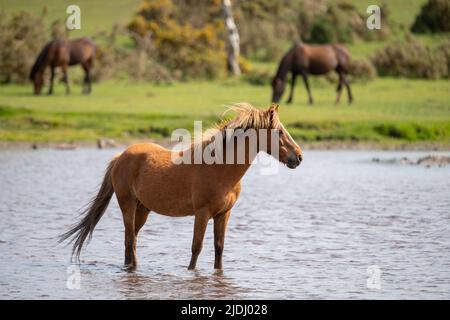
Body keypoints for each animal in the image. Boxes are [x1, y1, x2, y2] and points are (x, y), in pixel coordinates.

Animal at [59, 104, 304, 272]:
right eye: (279, 132)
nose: (299, 157)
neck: (220, 168)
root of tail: (120, 156)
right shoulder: (202, 212)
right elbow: (197, 247)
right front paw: (190, 273)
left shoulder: (224, 214)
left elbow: (219, 248)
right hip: (127, 205)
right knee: (130, 240)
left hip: (143, 209)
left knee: (131, 240)